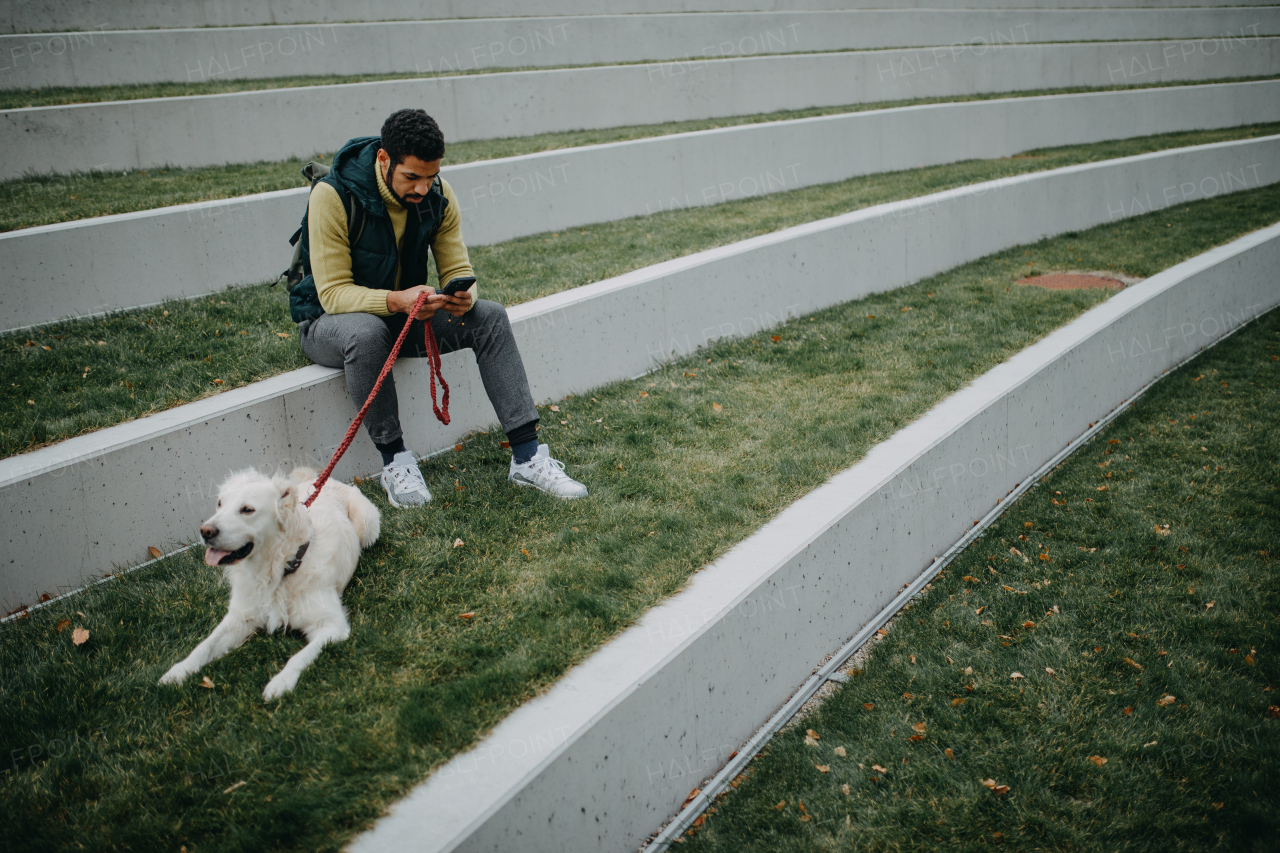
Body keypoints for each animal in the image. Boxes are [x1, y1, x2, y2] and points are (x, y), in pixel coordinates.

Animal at [160, 466, 378, 696]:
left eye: (247, 509)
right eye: (219, 503)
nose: (205, 531)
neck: (277, 571)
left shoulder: (332, 625)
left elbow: (299, 656)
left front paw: (280, 682)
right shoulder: (239, 618)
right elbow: (204, 646)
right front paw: (177, 672)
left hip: (368, 523)